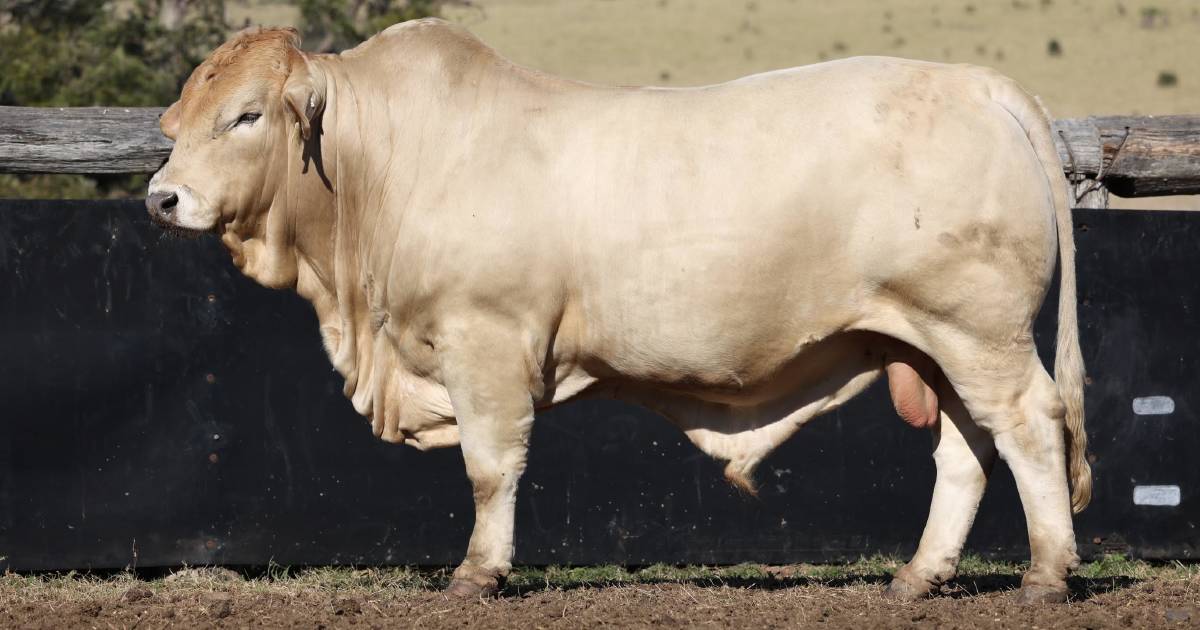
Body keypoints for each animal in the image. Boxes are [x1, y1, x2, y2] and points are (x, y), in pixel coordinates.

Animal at [147, 18, 1089, 600]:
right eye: (177, 120)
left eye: (246, 115)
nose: (162, 198)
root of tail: (981, 86)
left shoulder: (484, 343)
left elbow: (491, 467)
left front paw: (478, 572)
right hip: (933, 342)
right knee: (966, 449)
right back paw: (919, 576)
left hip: (980, 332)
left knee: (1031, 426)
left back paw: (1046, 575)